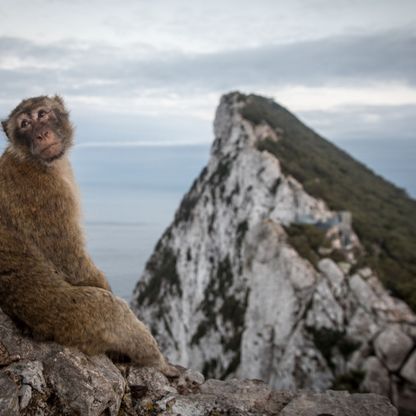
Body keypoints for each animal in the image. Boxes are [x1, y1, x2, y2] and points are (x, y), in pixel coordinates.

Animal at [0, 96, 177, 376]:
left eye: (42, 114)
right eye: (25, 124)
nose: (40, 134)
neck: (34, 161)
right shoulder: (44, 196)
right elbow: (72, 263)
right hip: (66, 319)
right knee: (112, 313)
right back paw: (155, 361)